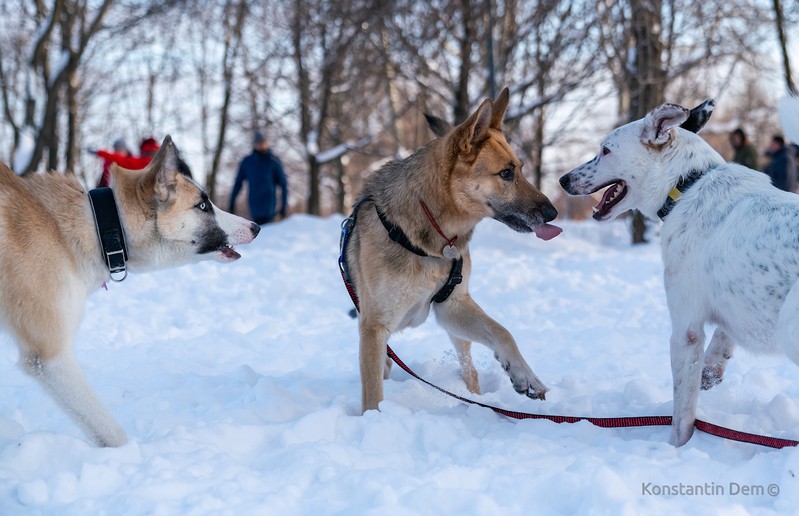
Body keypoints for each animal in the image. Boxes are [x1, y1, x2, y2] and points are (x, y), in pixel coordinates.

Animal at [342, 87, 564, 412]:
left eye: (521, 170)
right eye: (506, 174)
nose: (552, 213)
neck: (432, 237)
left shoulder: (453, 306)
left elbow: (503, 332)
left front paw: (525, 375)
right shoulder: (374, 327)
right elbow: (373, 394)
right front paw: (376, 420)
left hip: (457, 330)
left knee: (469, 367)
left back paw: (476, 399)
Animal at [556, 102, 799, 448]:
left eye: (605, 150)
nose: (563, 180)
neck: (686, 184)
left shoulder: (685, 331)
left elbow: (682, 412)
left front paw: (675, 449)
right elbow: (723, 334)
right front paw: (712, 367)